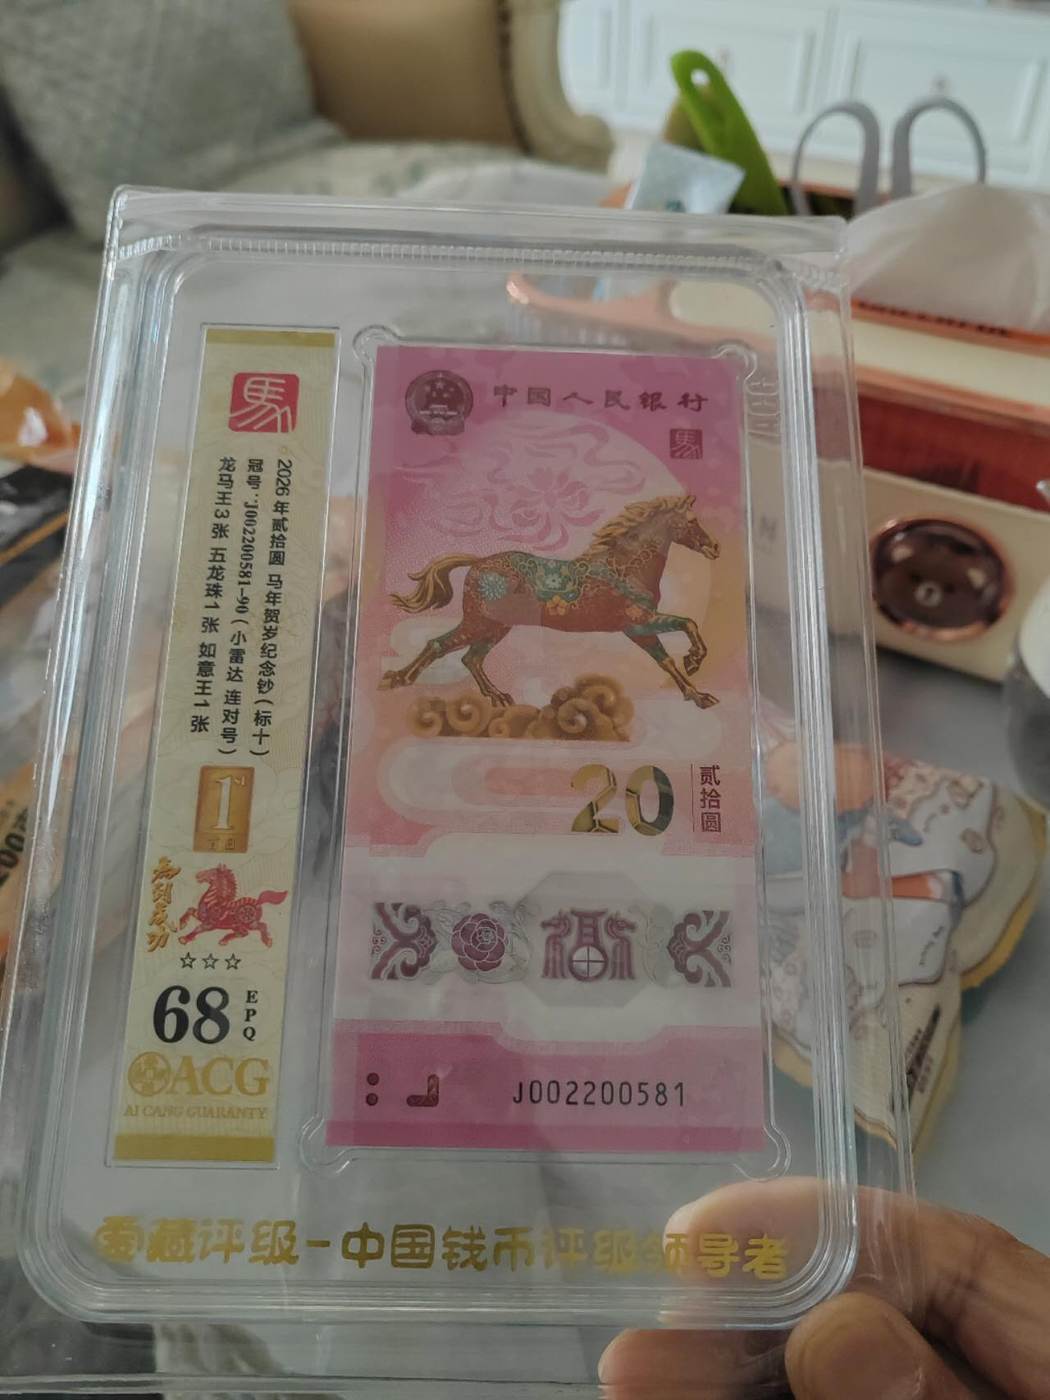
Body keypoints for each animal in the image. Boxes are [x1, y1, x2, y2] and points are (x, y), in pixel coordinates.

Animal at [379, 494, 720, 708]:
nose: (714, 547)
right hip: (479, 622)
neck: (626, 569)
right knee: (438, 645)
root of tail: (478, 563)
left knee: (471, 658)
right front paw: (694, 662)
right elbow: (686, 628)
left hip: (495, 627)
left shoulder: (641, 629)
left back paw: (499, 697)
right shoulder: (638, 624)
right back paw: (397, 679)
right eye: (691, 521)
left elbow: (669, 657)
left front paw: (699, 693)